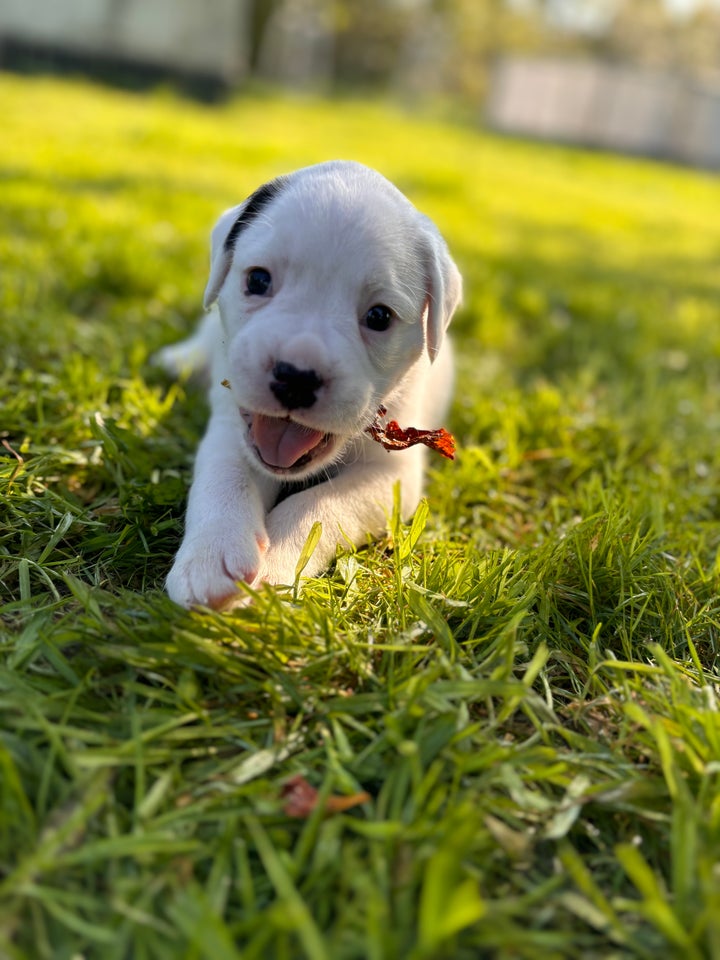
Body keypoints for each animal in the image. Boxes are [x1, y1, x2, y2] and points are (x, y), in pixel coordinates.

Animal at [158, 159, 462, 608]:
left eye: (379, 317)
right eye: (258, 280)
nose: (296, 378)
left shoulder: (391, 478)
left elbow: (318, 504)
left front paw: (273, 566)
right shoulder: (232, 429)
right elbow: (225, 474)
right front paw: (212, 554)